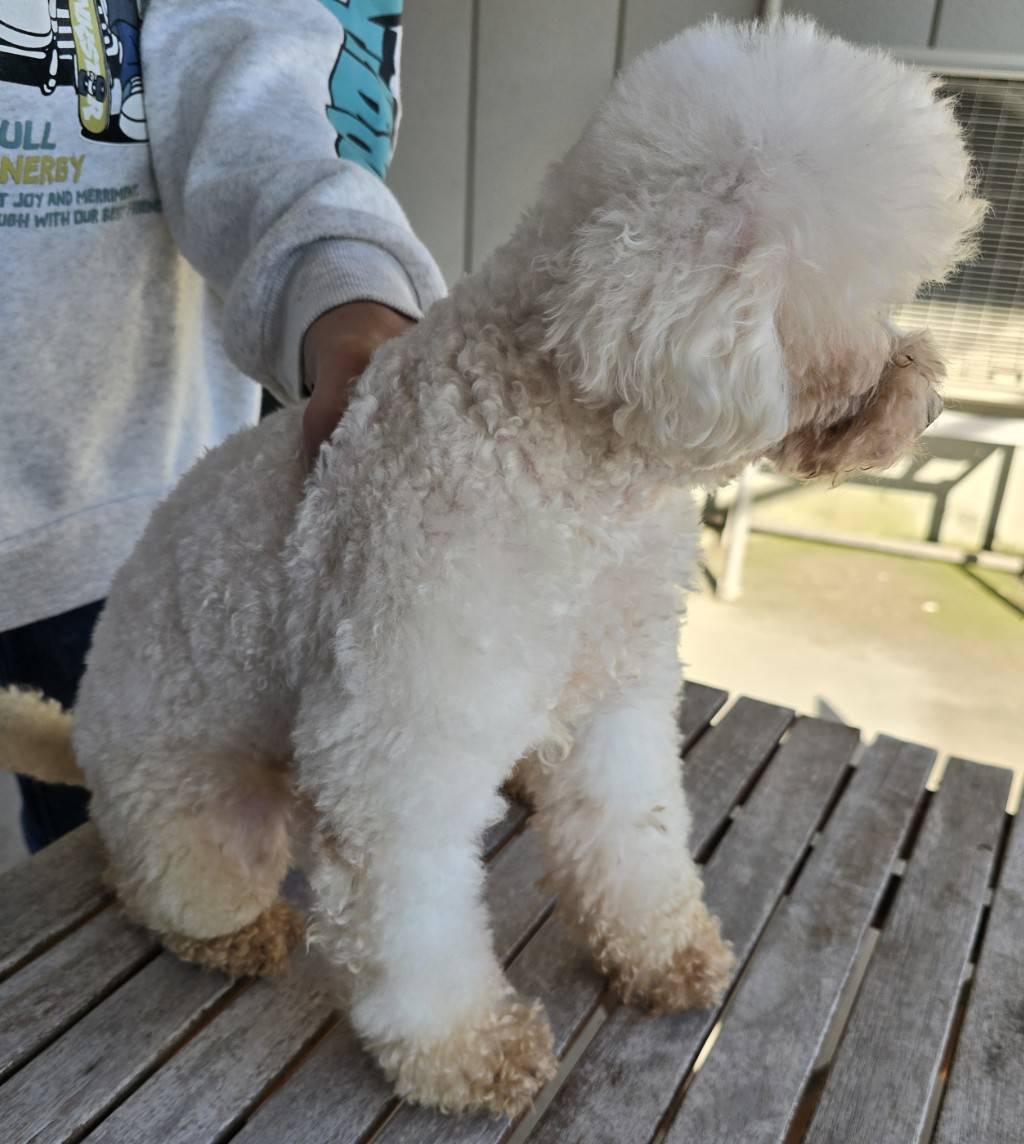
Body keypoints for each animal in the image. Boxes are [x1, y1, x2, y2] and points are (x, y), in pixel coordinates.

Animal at [0, 18, 981, 1117]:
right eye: (861, 311)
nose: (933, 401)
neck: (570, 459)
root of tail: (84, 732)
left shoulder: (613, 702)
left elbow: (634, 836)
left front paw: (664, 953)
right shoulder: (402, 745)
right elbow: (416, 921)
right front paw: (466, 1050)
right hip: (202, 827)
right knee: (161, 887)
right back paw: (233, 932)